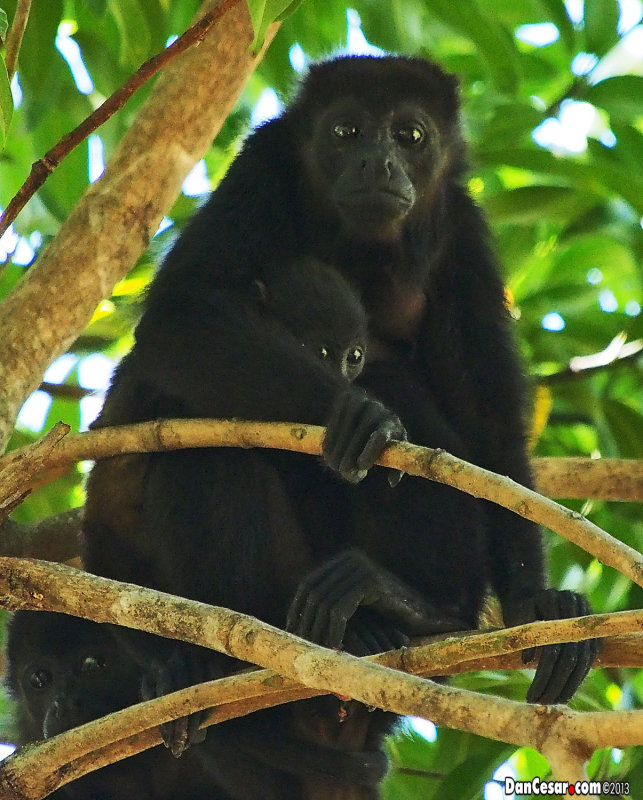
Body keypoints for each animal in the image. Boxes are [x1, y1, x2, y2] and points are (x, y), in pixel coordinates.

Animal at [84, 53, 600, 796]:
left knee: (406, 397)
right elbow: (181, 313)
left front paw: (535, 605)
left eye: (410, 135)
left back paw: (415, 610)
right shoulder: (259, 168)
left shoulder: (463, 233)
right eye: (345, 130)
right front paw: (348, 412)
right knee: (203, 458)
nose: (377, 161)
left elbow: (488, 426)